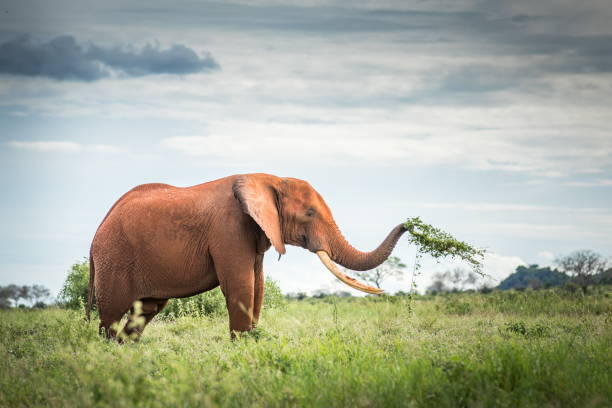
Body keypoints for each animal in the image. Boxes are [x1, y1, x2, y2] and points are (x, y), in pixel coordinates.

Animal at [86, 174, 408, 340]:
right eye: (309, 213)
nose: (408, 224)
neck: (270, 179)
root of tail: (98, 229)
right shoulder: (229, 229)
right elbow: (241, 285)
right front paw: (241, 347)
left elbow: (258, 286)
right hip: (114, 258)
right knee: (112, 315)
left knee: (145, 311)